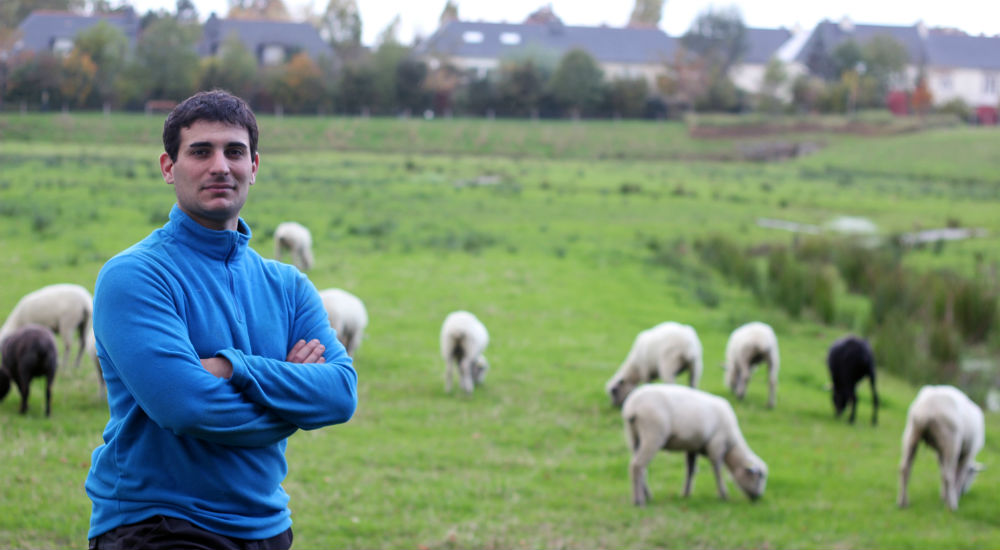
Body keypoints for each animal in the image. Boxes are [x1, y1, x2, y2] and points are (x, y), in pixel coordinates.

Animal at [624, 384, 764, 508]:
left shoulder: (693, 447)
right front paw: (723, 495)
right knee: (637, 466)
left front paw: (686, 493)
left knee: (640, 468)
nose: (759, 498)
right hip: (652, 434)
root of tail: (632, 406)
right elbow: (717, 470)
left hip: (634, 438)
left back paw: (647, 495)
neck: (732, 447)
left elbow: (691, 470)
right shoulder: (716, 445)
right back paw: (639, 501)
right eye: (759, 477)